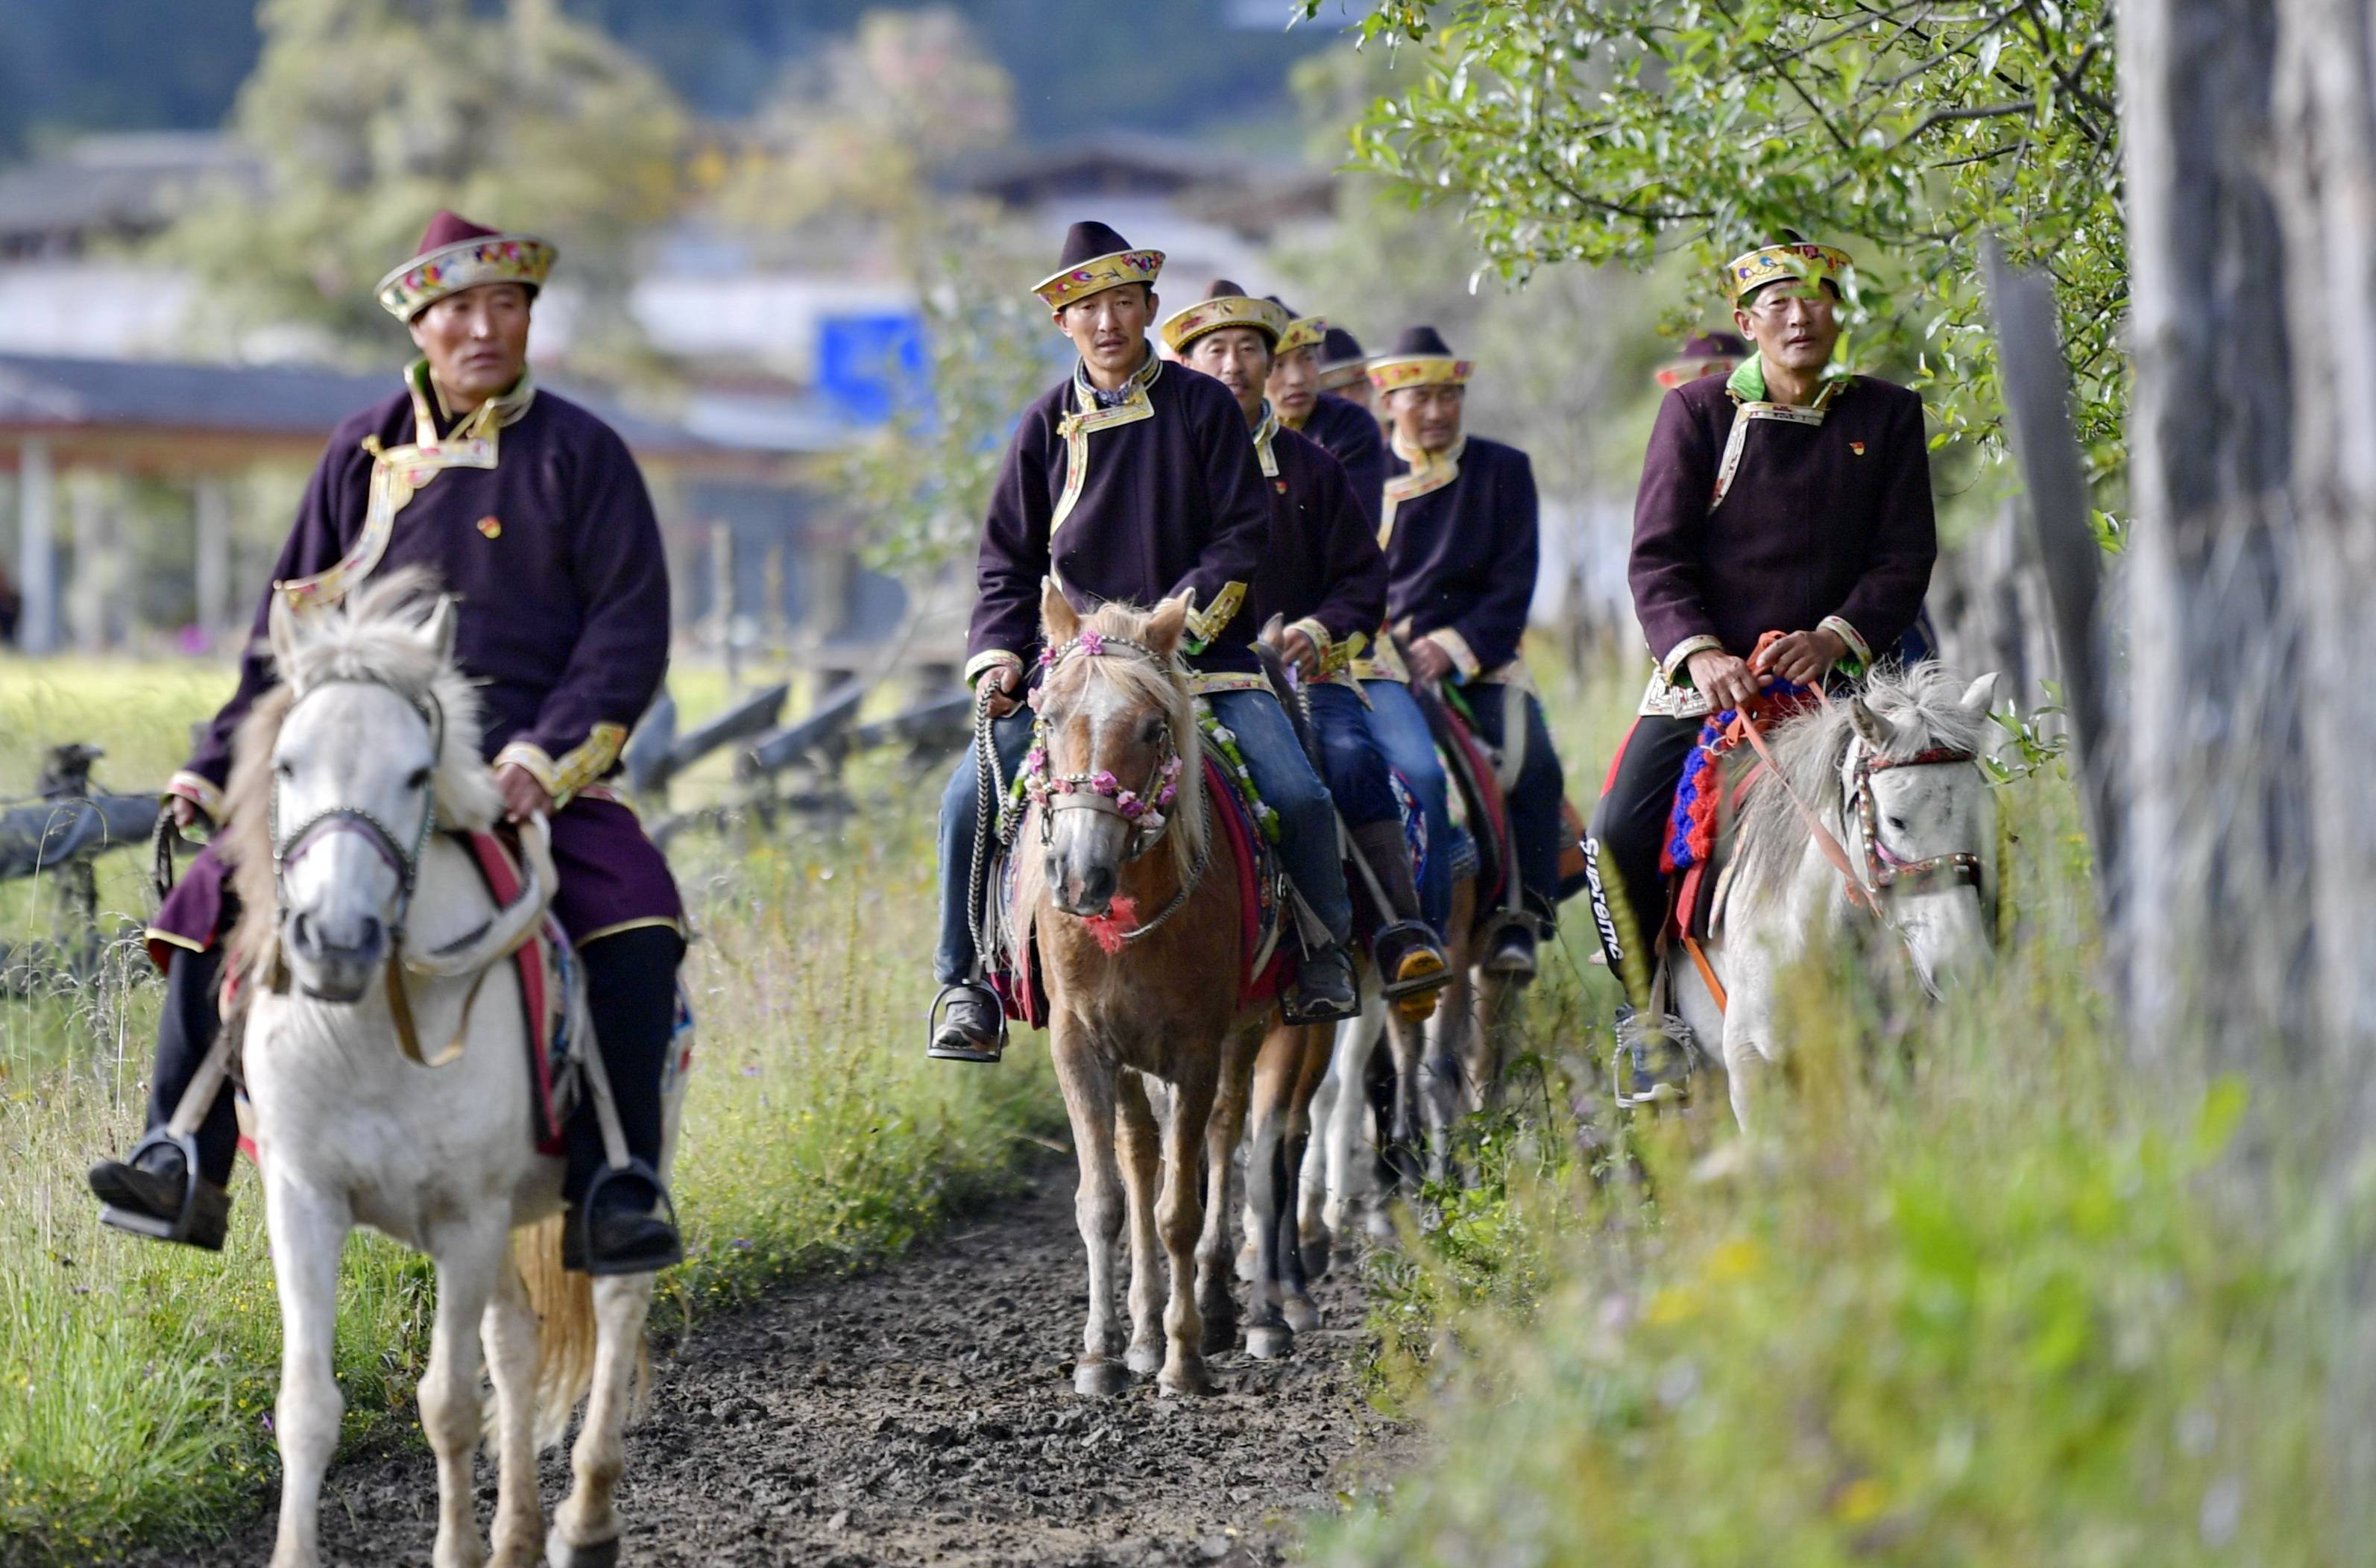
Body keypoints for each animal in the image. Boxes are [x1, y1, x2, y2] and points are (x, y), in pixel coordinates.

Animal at [224, 575, 679, 1568]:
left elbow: (447, 1403)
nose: (337, 941)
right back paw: (516, 1535)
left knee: (617, 1301)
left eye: (414, 775)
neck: (365, 1035)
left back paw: (584, 1522)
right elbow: (308, 1407)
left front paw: (459, 1548)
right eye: (287, 765)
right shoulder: (306, 1199)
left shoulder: (465, 1216)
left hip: (618, 1169)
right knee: (515, 1341)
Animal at [1012, 582, 1292, 1387]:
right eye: (1048, 716)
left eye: (1151, 727)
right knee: (1142, 1154)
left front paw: (1184, 1358)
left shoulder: (1196, 1049)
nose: (1079, 876)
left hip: (1251, 1031)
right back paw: (1141, 1332)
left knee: (1234, 1139)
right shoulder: (1079, 1045)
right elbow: (1103, 1199)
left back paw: (1242, 1315)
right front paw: (1101, 1352)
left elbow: (1181, 1209)